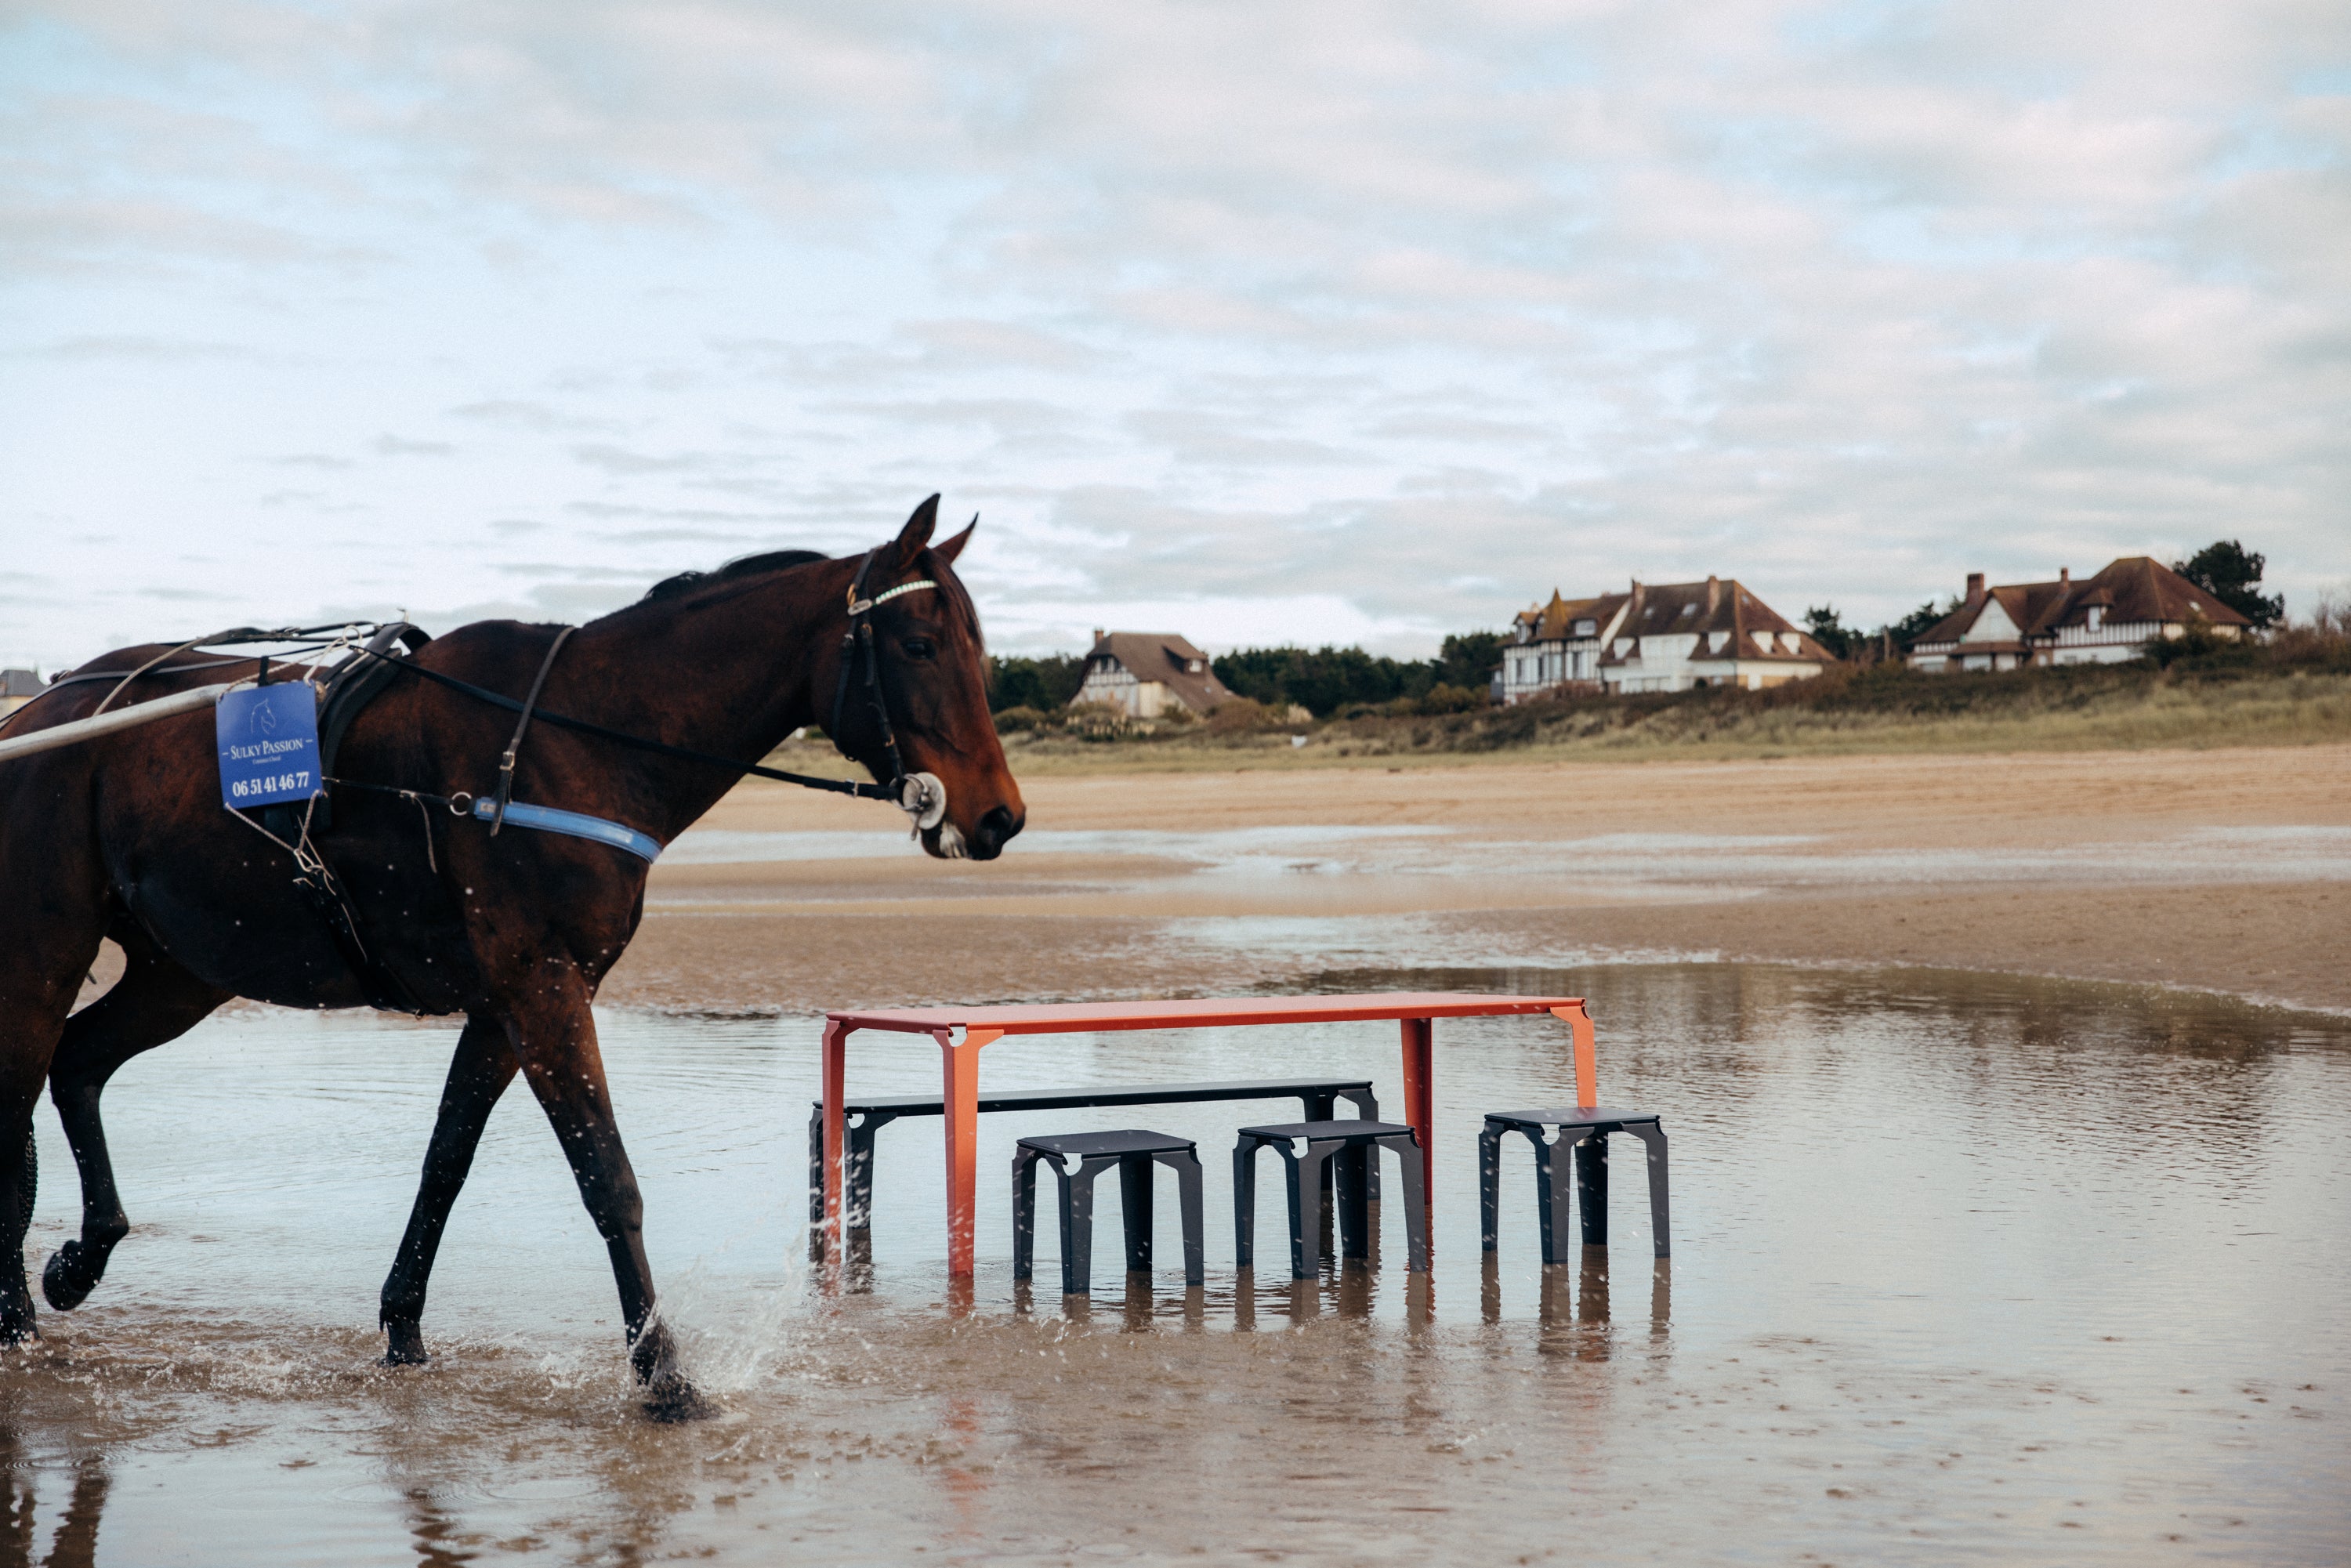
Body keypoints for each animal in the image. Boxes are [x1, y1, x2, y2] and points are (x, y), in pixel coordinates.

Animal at [0, 496, 1020, 1420]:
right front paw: (664, 1374)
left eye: (978, 649)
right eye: (919, 646)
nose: (1000, 815)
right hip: (45, 954)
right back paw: (17, 1317)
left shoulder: (506, 1004)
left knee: (80, 1062)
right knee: (25, 1095)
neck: (574, 739)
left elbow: (446, 1161)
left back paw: (81, 1258)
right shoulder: (543, 987)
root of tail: (35, 718)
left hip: (187, 968)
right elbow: (608, 1178)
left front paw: (404, 1329)